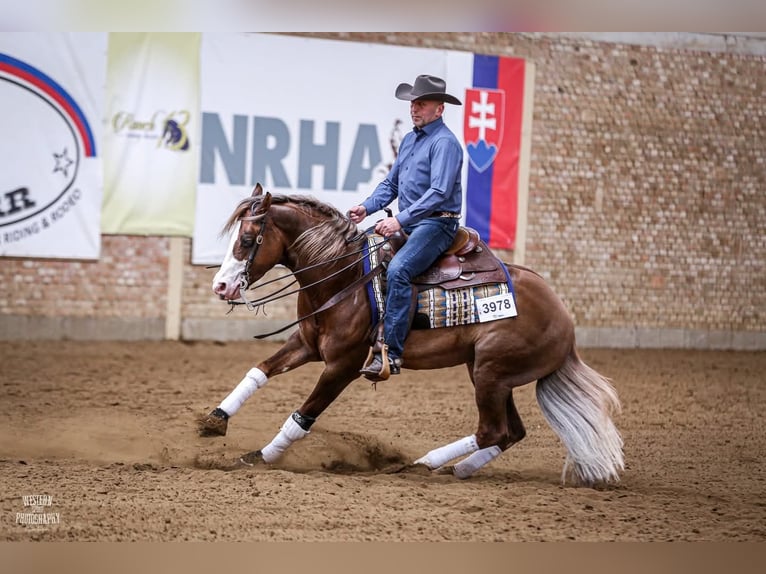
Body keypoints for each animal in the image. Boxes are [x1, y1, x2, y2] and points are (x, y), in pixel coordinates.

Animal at [198, 183, 624, 484]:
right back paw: (456, 469)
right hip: (491, 374)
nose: (221, 286)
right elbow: (259, 371)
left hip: (491, 372)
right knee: (508, 433)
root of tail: (565, 321)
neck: (344, 276)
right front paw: (215, 420)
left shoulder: (343, 365)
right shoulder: (306, 344)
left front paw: (261, 457)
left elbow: (303, 416)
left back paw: (422, 464)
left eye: (247, 240)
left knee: (491, 430)